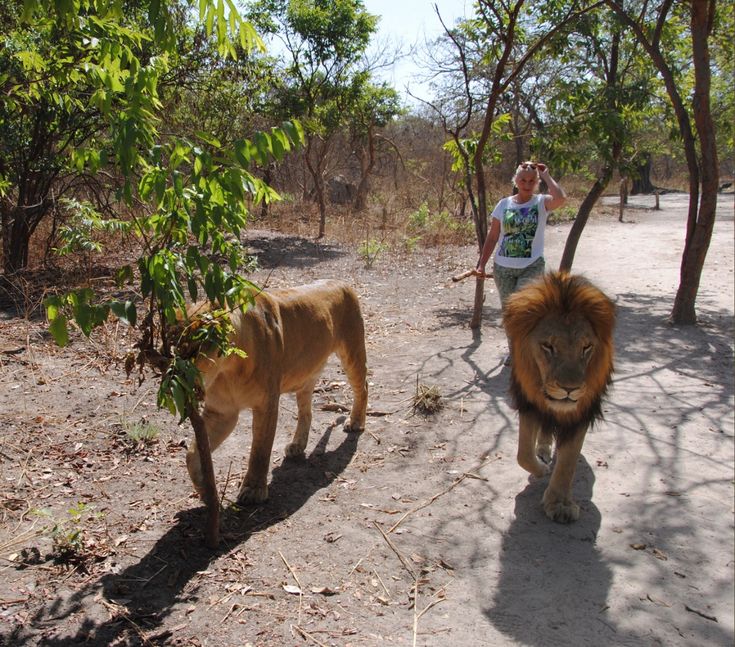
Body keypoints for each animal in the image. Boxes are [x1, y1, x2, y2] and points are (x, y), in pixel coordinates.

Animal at [184, 279, 368, 504]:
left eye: (196, 348)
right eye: (174, 349)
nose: (181, 380)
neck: (228, 369)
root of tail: (340, 282)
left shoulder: (266, 404)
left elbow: (260, 450)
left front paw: (253, 490)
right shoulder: (222, 412)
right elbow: (192, 453)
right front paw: (206, 490)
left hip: (352, 351)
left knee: (363, 387)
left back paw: (356, 422)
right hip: (306, 374)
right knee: (306, 411)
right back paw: (297, 445)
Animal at [503, 271, 615, 523]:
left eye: (586, 347)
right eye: (548, 346)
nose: (570, 389)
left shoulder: (581, 413)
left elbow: (568, 461)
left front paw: (560, 504)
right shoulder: (529, 404)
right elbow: (523, 454)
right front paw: (541, 470)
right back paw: (543, 451)